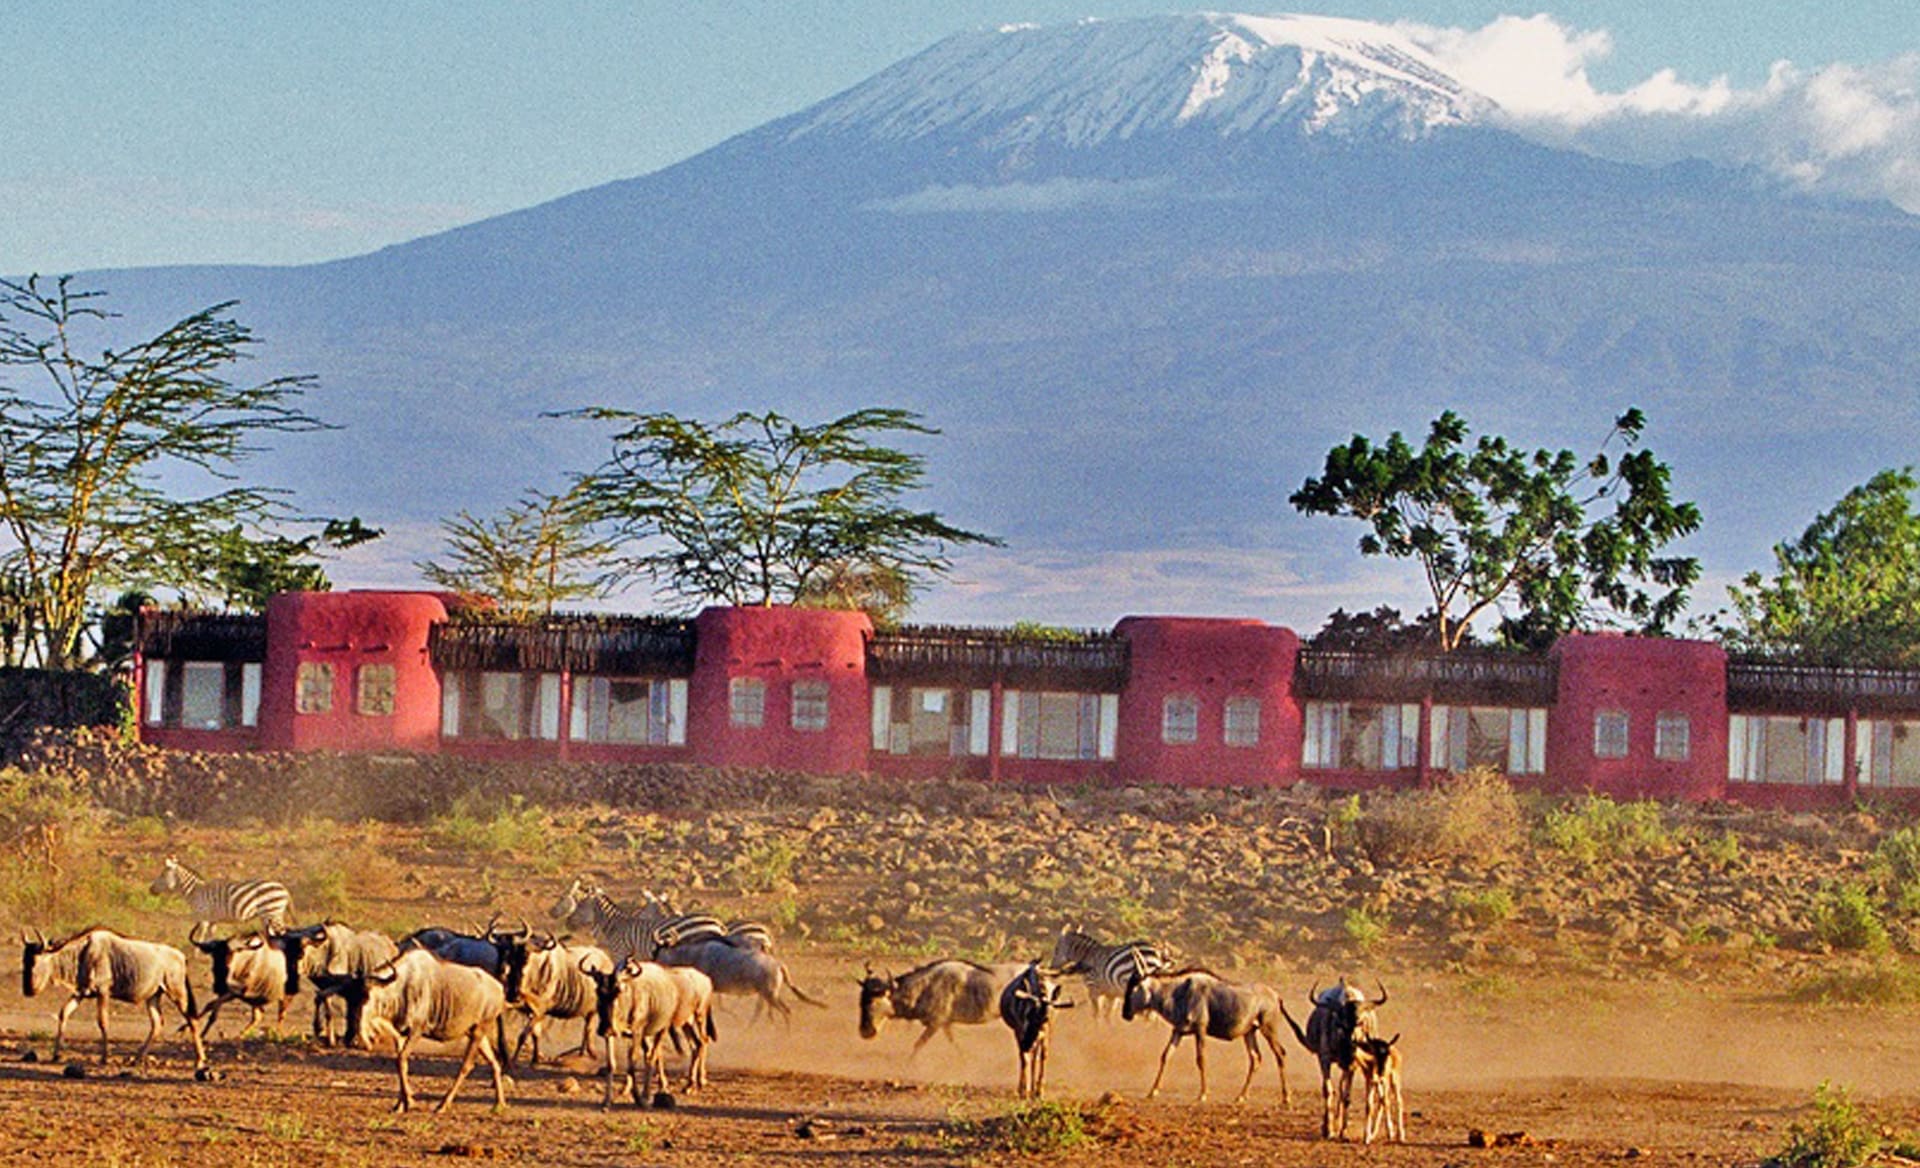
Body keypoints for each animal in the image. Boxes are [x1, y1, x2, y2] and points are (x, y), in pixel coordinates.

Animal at [151, 852, 291, 933]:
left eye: (162, 875)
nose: (150, 889)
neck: (194, 890)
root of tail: (284, 888)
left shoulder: (203, 917)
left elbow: (200, 935)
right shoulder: (213, 920)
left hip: (273, 912)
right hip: (268, 916)